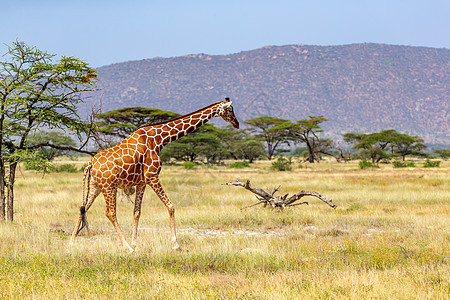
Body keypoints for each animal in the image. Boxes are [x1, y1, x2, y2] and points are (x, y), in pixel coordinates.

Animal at [69, 98, 239, 251]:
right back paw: (125, 247)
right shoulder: (152, 176)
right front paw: (175, 245)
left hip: (95, 186)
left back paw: (72, 242)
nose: (237, 124)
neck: (159, 139)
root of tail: (90, 163)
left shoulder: (141, 182)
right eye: (230, 110)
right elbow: (171, 207)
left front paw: (135, 244)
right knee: (110, 213)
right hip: (109, 186)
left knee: (82, 207)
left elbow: (137, 212)